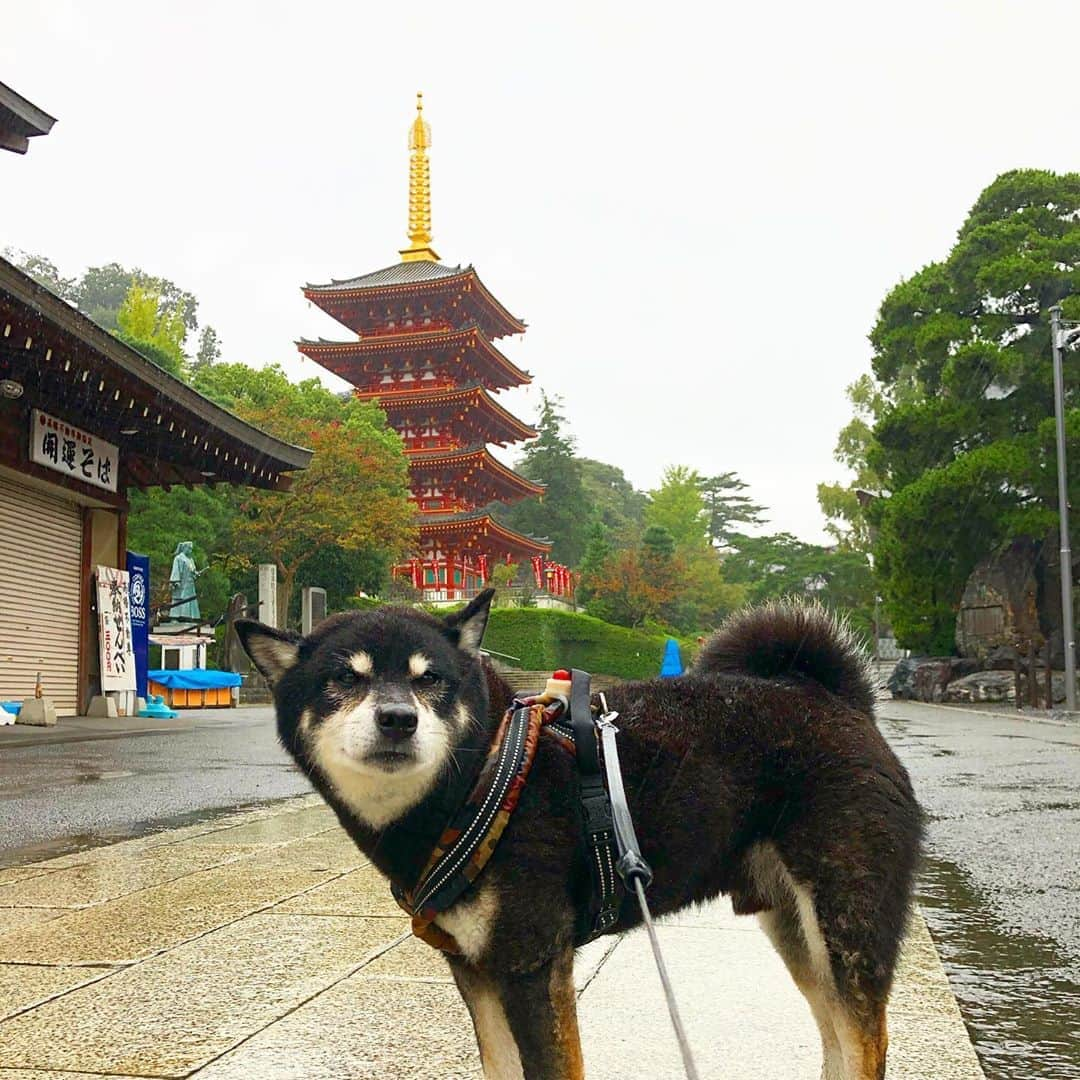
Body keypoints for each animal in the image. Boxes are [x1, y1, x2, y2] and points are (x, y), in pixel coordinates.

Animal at [236, 591, 920, 1080]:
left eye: (430, 680)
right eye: (344, 680)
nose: (399, 719)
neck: (483, 775)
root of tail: (836, 700)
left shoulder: (532, 964)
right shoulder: (477, 970)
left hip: (845, 926)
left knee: (867, 1042)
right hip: (798, 934)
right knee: (838, 1037)